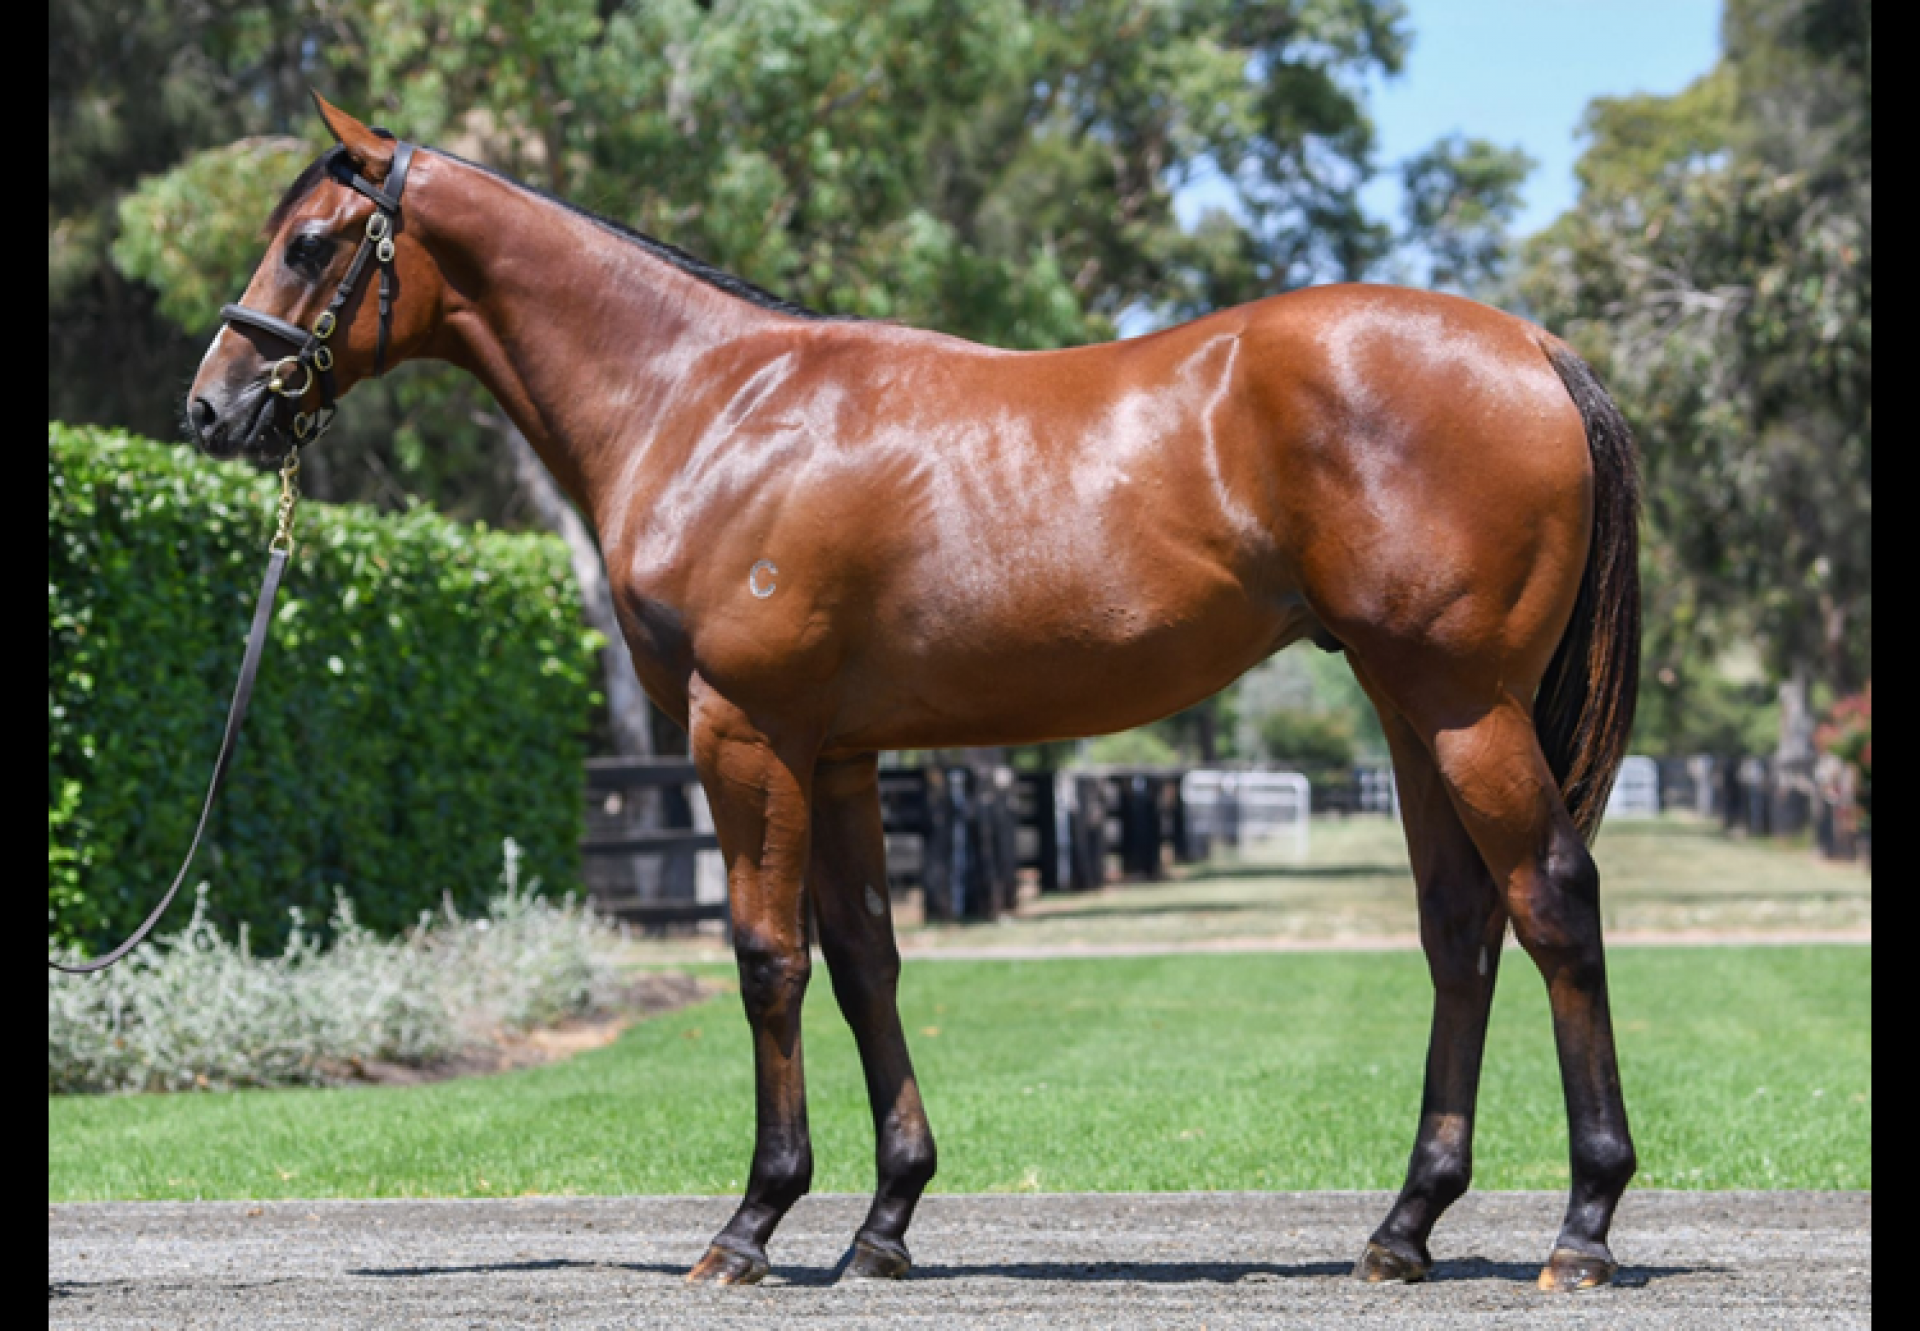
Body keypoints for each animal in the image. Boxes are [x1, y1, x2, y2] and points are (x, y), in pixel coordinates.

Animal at [187, 98, 1643, 1290]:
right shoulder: (835, 752)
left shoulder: (743, 731)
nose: (212, 408)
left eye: (309, 243)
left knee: (1553, 898)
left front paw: (753, 1222)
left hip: (1461, 703)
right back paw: (1405, 1225)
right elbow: (864, 961)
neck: (709, 403)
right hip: (1412, 709)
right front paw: (884, 1219)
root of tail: (1532, 344)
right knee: (1460, 926)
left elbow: (767, 958)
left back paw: (1582, 1224)